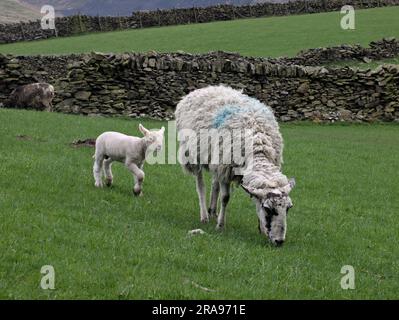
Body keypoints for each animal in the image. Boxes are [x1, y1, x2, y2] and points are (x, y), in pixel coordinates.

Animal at [176, 85, 296, 245]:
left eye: (288, 208)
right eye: (268, 209)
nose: (279, 241)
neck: (258, 146)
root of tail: (205, 88)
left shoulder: (224, 167)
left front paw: (261, 228)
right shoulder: (226, 168)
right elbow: (225, 197)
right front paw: (220, 225)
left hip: (216, 159)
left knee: (214, 183)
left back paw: (212, 211)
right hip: (194, 155)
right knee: (200, 185)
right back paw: (204, 216)